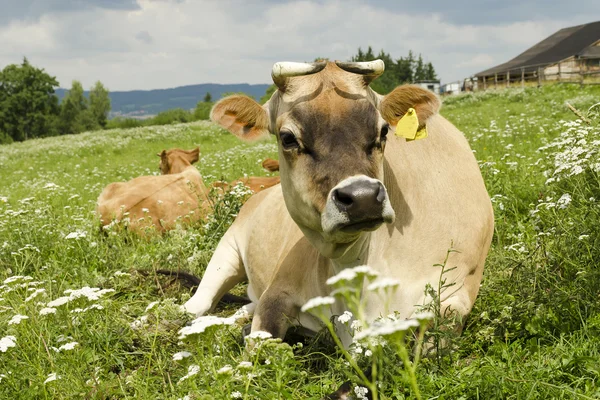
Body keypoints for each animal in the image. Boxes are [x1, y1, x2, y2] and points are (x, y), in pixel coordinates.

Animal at [185, 61, 494, 346]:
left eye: (384, 131)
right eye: (287, 137)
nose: (363, 197)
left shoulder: (456, 296)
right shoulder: (277, 290)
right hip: (226, 251)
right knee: (196, 306)